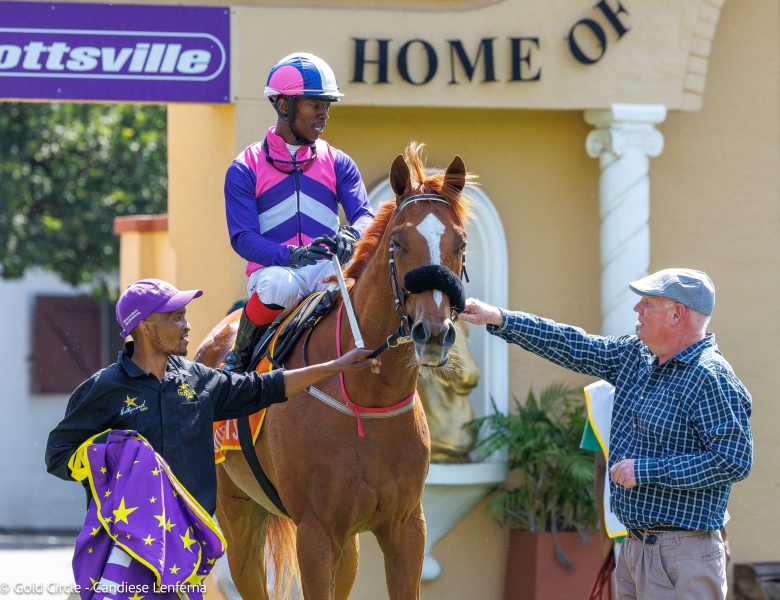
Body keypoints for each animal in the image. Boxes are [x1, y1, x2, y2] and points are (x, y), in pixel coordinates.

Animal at [194, 143, 474, 600]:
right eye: (399, 242)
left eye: (460, 243)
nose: (433, 332)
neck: (369, 397)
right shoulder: (316, 532)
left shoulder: (405, 527)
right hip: (238, 517)